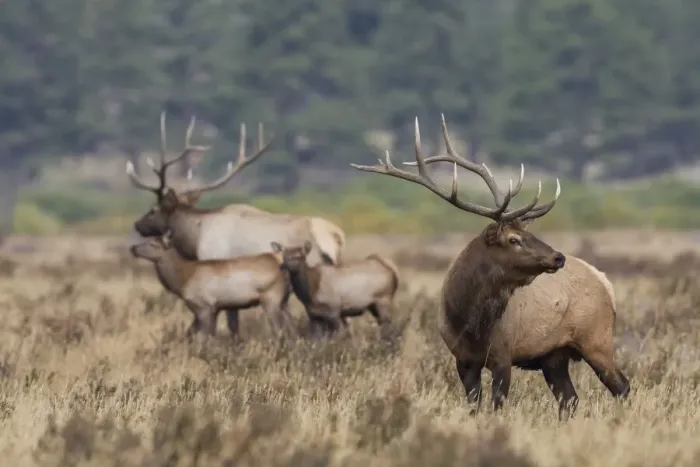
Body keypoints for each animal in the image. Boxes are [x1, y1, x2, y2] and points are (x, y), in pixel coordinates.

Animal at [129, 231, 292, 338]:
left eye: (153, 243)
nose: (133, 248)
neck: (181, 281)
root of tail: (279, 261)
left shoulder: (203, 307)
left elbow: (203, 339)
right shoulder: (215, 309)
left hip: (271, 298)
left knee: (279, 331)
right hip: (284, 300)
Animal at [270, 241, 399, 338]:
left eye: (301, 256)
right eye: (285, 256)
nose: (290, 267)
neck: (309, 294)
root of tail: (393, 271)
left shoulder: (334, 311)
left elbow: (339, 335)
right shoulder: (314, 316)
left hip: (383, 300)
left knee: (389, 326)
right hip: (373, 306)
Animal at [350, 114, 630, 420]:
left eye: (527, 233)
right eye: (514, 239)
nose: (558, 257)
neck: (470, 324)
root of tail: (605, 281)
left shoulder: (503, 356)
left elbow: (497, 405)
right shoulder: (462, 359)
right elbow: (474, 406)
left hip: (597, 339)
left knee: (622, 386)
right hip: (553, 356)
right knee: (570, 398)